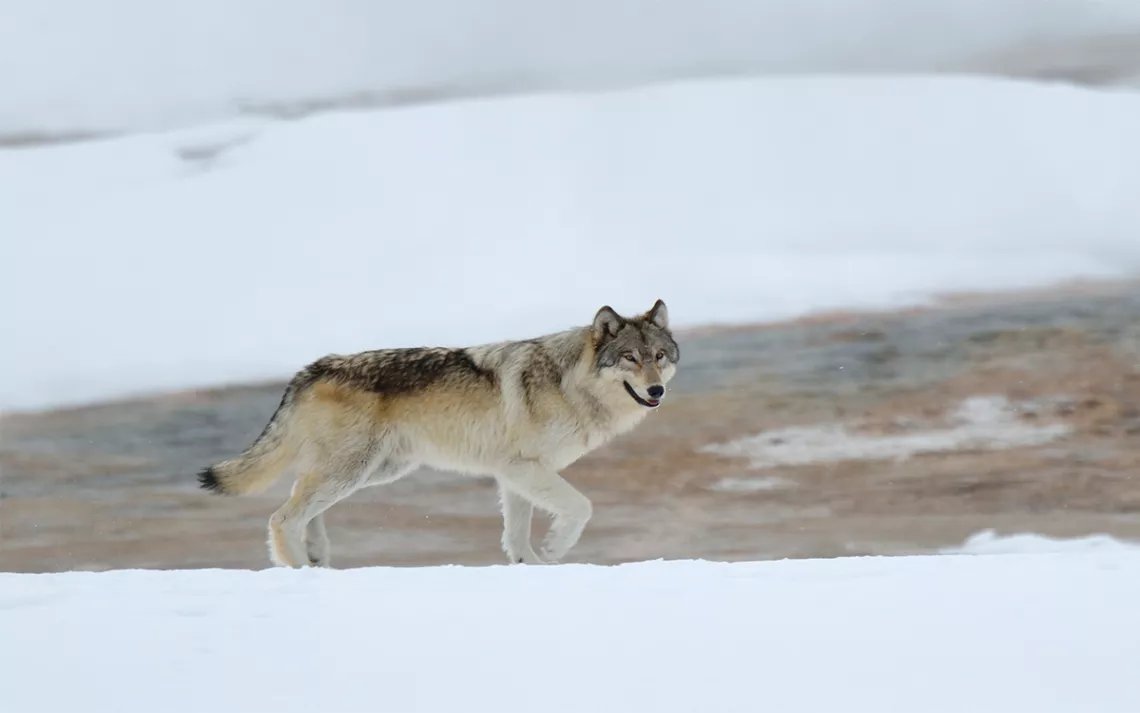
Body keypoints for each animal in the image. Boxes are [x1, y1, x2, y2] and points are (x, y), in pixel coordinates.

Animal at [198, 300, 679, 567]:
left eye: (659, 356)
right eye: (630, 358)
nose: (657, 390)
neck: (568, 383)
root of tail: (310, 368)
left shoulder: (515, 475)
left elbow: (516, 536)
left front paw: (533, 566)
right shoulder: (525, 470)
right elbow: (581, 507)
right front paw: (555, 548)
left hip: (373, 471)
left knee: (300, 499)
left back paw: (318, 558)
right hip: (354, 470)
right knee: (282, 517)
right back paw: (301, 571)